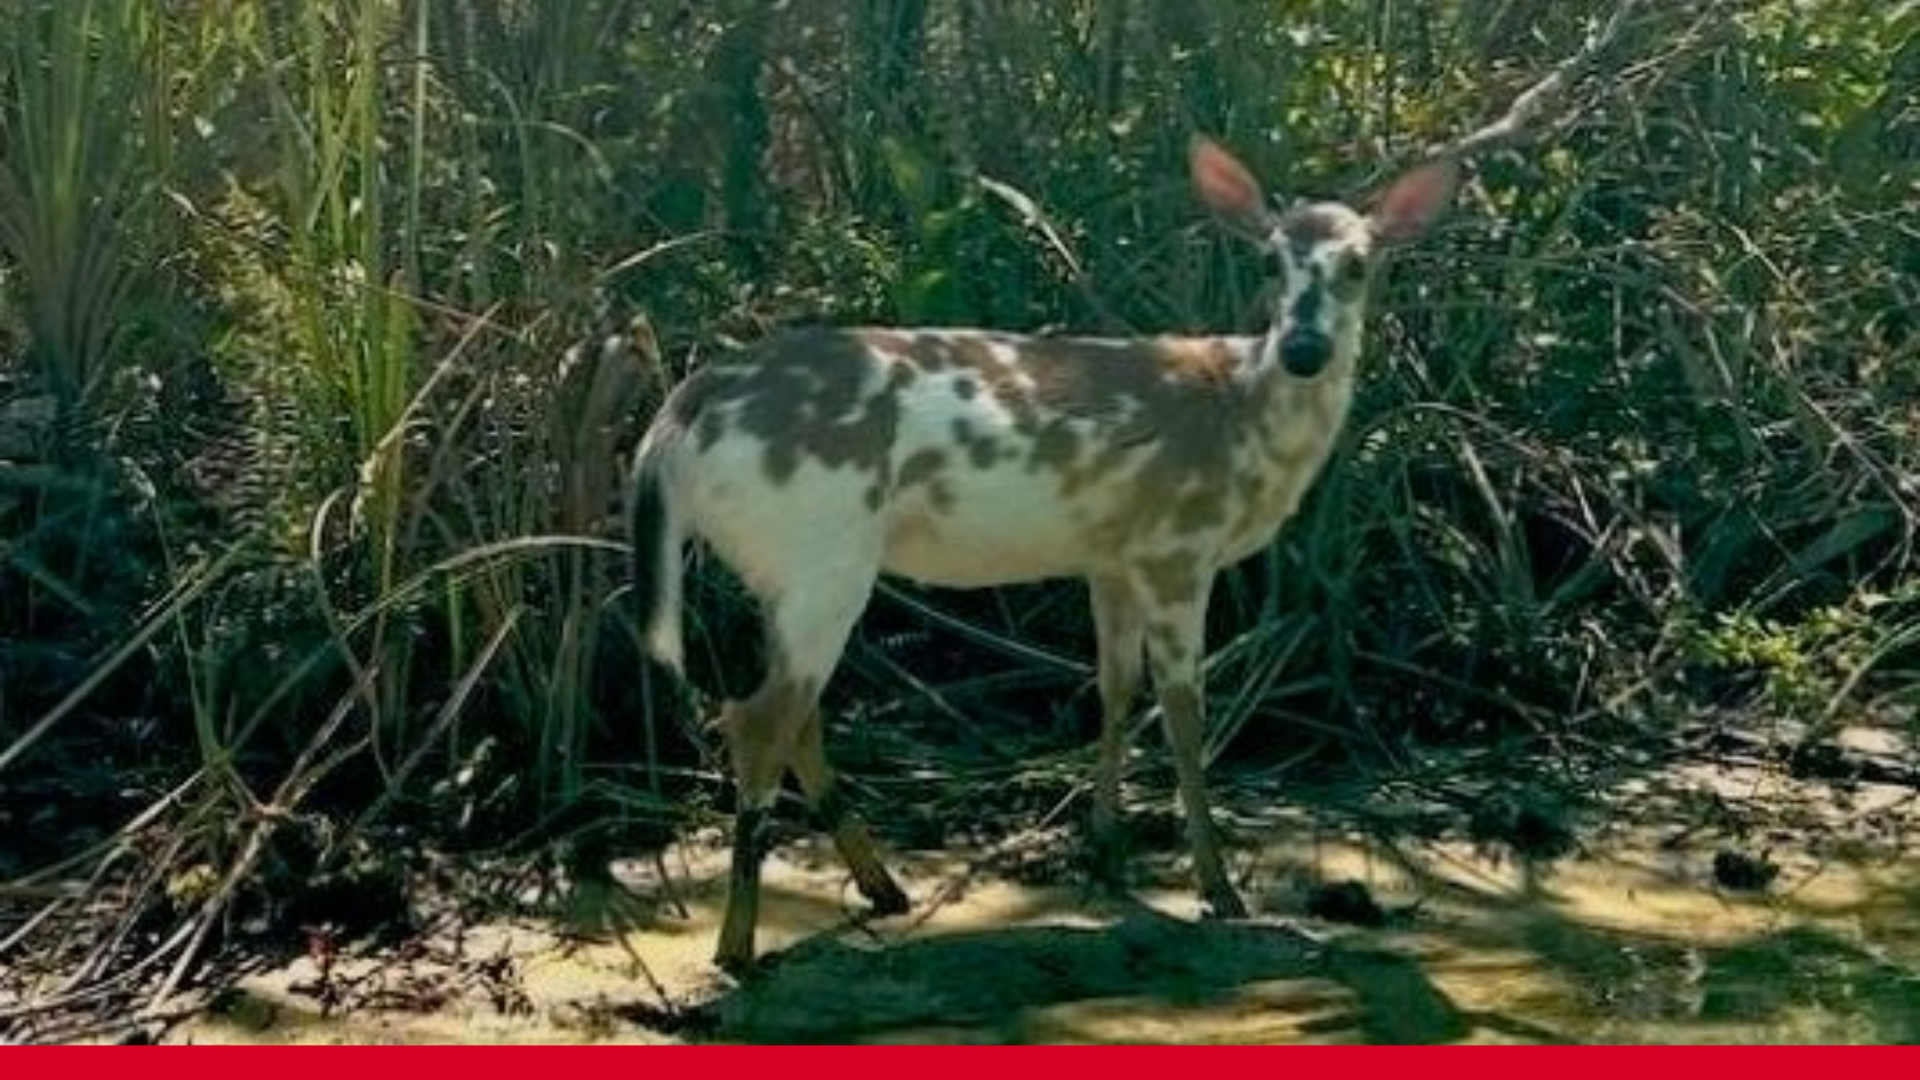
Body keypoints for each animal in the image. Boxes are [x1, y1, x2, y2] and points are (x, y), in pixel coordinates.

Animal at [628, 136, 1459, 971]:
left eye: (1359, 263)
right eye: (1269, 260)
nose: (1305, 348)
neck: (1243, 423)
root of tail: (676, 418)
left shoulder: (1112, 558)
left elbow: (1115, 689)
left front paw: (1107, 851)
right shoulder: (1179, 547)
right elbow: (1186, 712)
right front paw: (1217, 887)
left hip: (786, 569)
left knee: (794, 717)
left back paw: (882, 887)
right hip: (821, 550)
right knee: (757, 717)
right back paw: (738, 945)